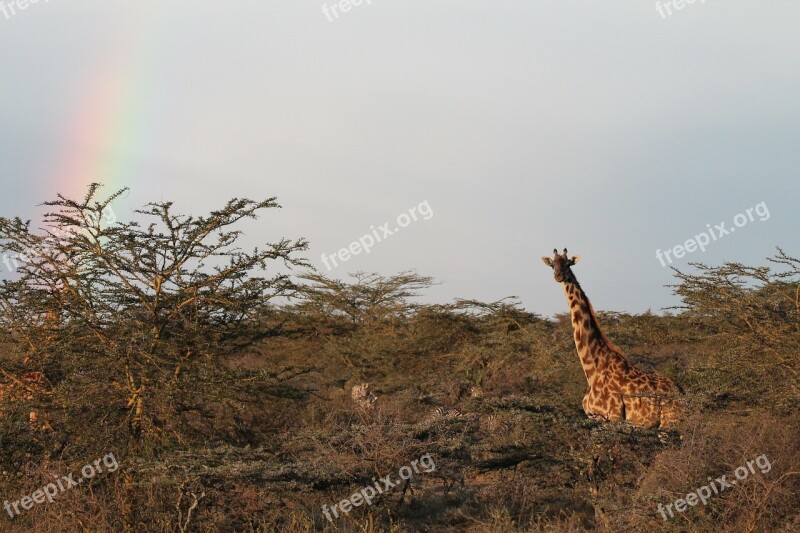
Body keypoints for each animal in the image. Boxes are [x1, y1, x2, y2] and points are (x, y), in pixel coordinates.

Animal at [540, 247, 684, 426]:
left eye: (568, 264)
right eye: (552, 265)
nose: (559, 276)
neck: (593, 370)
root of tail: (684, 395)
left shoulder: (613, 416)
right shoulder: (594, 417)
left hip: (670, 422)